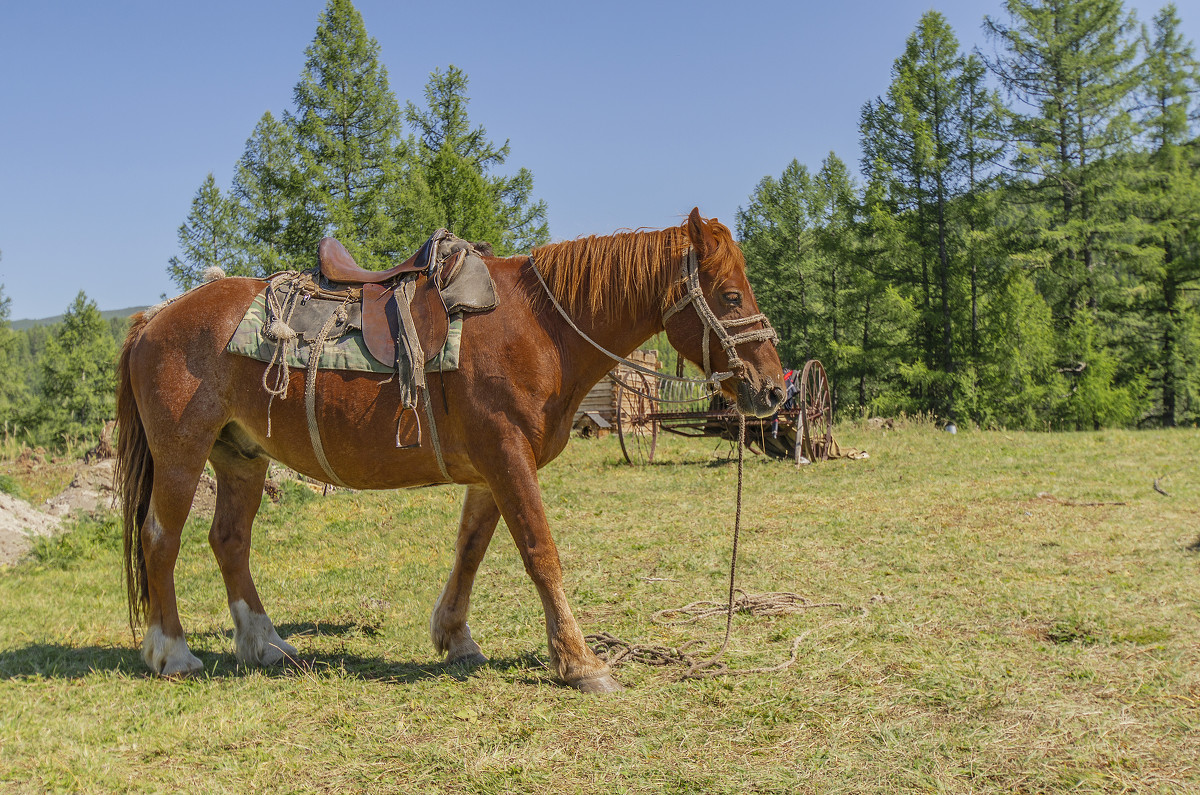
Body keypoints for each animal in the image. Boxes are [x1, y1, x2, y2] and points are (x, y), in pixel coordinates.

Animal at [114, 208, 787, 696]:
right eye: (731, 297)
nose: (774, 388)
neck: (542, 329)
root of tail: (153, 319)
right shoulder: (508, 456)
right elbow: (540, 552)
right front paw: (580, 662)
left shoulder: (490, 469)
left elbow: (471, 550)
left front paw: (456, 637)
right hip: (182, 454)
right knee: (160, 539)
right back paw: (172, 651)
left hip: (241, 457)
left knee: (228, 539)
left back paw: (265, 643)